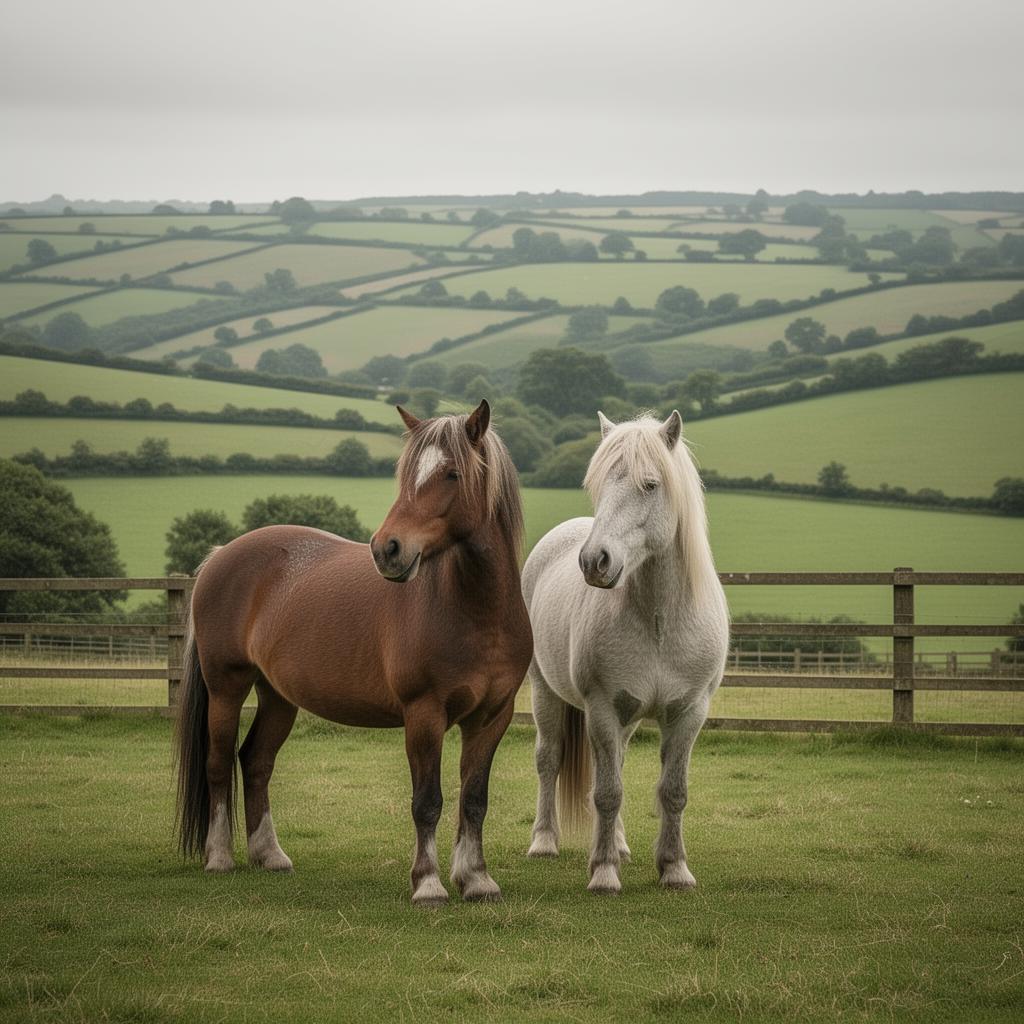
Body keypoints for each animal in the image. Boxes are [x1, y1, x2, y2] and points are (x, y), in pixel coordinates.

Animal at [174, 400, 533, 905]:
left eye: (452, 474)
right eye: (406, 474)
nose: (388, 549)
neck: (478, 613)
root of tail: (221, 555)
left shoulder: (491, 717)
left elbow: (474, 799)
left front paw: (477, 879)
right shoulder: (424, 714)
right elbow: (428, 802)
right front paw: (428, 883)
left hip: (278, 697)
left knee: (256, 761)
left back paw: (270, 855)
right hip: (226, 688)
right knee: (219, 763)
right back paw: (220, 857)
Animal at [521, 410, 729, 894]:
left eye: (650, 485)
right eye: (599, 484)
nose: (594, 561)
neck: (659, 622)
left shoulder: (689, 712)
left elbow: (672, 791)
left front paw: (674, 868)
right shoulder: (601, 708)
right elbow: (607, 791)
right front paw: (603, 872)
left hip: (628, 717)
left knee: (613, 762)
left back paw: (619, 844)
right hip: (546, 693)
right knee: (549, 759)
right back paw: (544, 841)